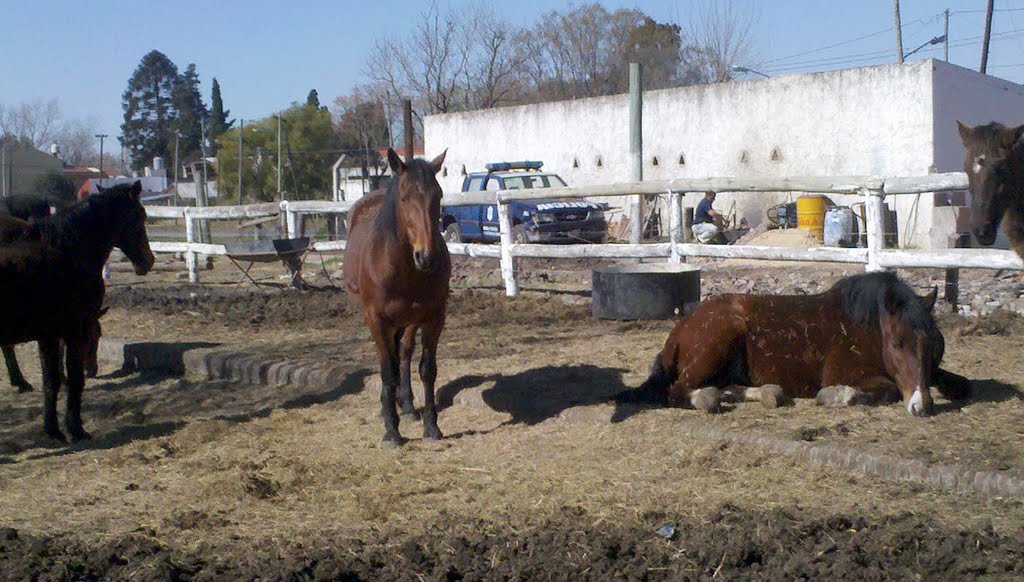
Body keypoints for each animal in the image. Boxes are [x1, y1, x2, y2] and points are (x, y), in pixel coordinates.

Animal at [0, 182, 153, 440]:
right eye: (140, 215)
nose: (148, 261)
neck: (66, 252)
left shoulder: (48, 336)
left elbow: (51, 381)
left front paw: (53, 430)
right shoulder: (75, 331)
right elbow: (74, 379)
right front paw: (76, 429)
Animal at [344, 147, 448, 448]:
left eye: (438, 196)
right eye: (405, 198)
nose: (427, 257)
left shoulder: (434, 317)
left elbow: (427, 369)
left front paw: (431, 427)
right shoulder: (377, 320)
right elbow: (386, 371)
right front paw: (391, 431)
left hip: (407, 321)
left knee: (403, 352)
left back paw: (408, 405)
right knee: (389, 361)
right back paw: (388, 408)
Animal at [626, 270, 970, 416]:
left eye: (935, 346)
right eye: (898, 344)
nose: (922, 407)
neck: (865, 327)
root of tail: (681, 327)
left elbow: (960, 382)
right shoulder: (847, 375)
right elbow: (886, 390)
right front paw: (835, 396)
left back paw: (768, 393)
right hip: (718, 344)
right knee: (677, 391)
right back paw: (709, 399)